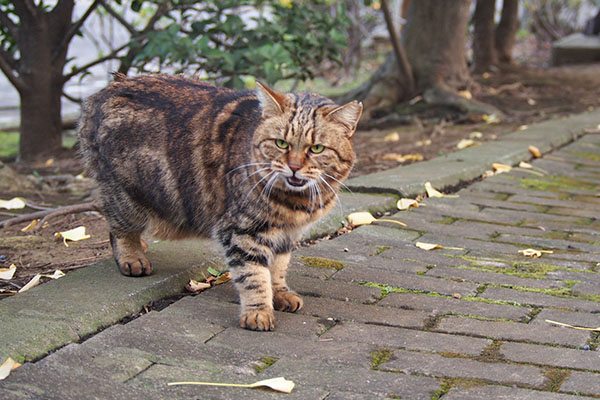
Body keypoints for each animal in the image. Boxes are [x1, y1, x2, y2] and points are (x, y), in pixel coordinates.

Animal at [78, 74, 360, 332]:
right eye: (281, 143)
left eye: (316, 149)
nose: (294, 167)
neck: (295, 203)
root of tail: (105, 91)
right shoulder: (242, 231)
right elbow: (254, 275)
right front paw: (258, 311)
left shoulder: (287, 235)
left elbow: (277, 268)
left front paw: (279, 293)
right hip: (127, 197)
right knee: (118, 229)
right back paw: (132, 257)